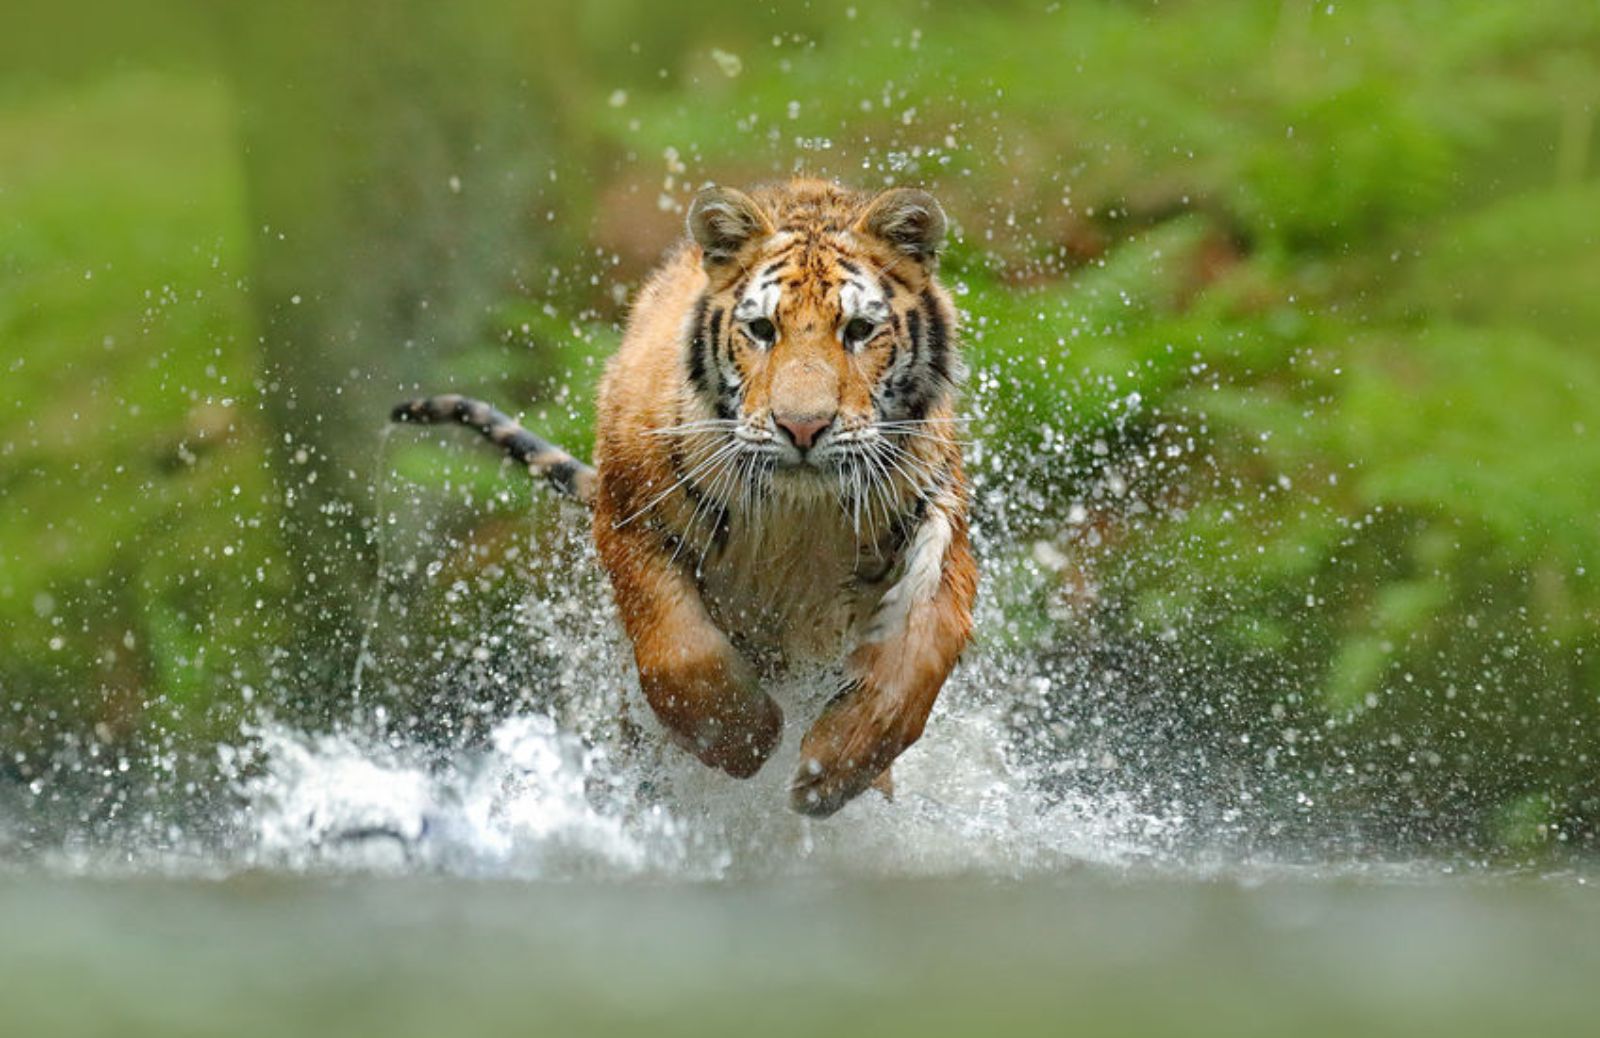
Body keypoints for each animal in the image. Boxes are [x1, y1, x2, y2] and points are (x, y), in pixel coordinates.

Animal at [400, 174, 972, 812]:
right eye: (762, 330)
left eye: (858, 331)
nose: (802, 428)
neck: (799, 514)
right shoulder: (629, 516)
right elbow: (679, 650)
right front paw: (745, 740)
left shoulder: (939, 515)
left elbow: (923, 650)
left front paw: (836, 765)